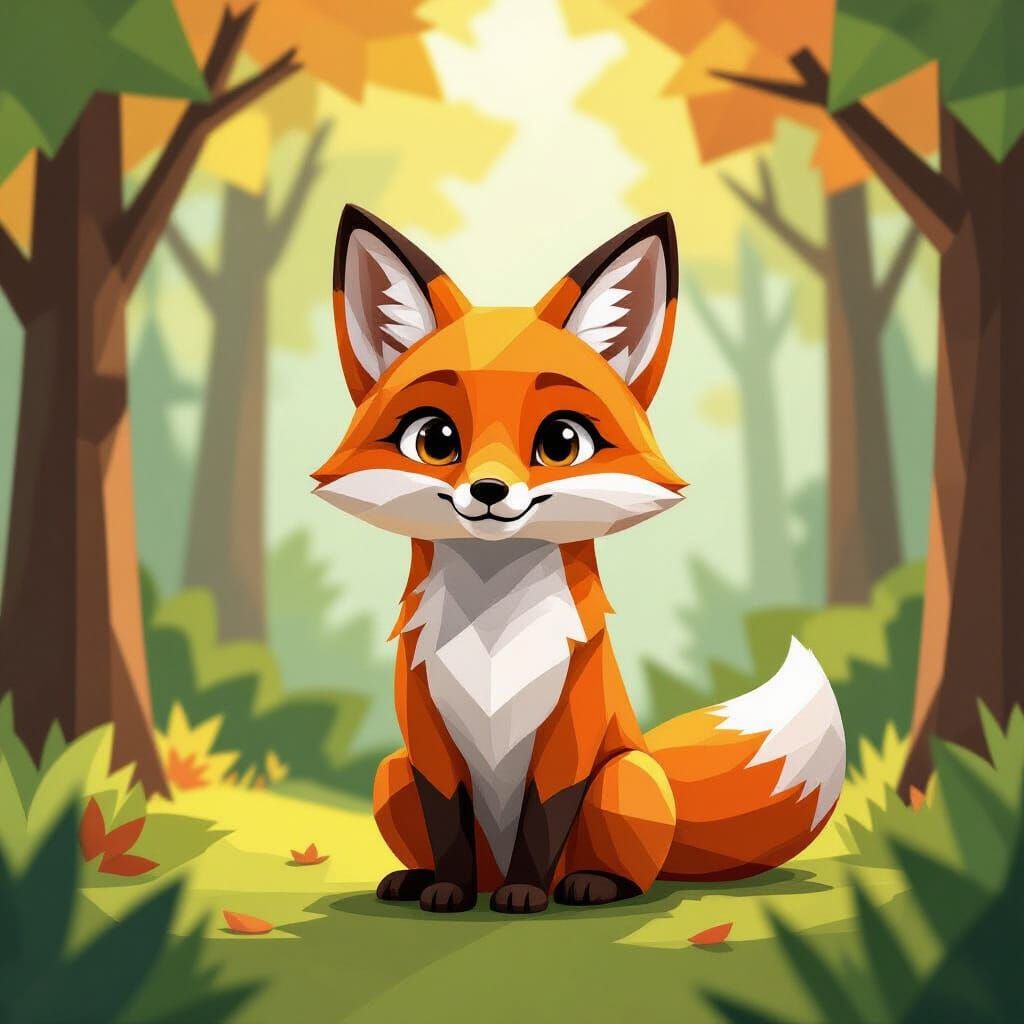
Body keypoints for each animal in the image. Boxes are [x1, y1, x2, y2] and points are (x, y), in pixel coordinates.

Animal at [313, 205, 846, 914]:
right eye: (434, 439)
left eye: (561, 441)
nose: (488, 491)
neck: (492, 631)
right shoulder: (427, 742)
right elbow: (447, 822)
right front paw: (449, 891)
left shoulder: (570, 731)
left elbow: (542, 819)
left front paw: (525, 897)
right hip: (390, 772)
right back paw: (421, 880)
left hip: (627, 776)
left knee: (631, 869)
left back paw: (590, 885)